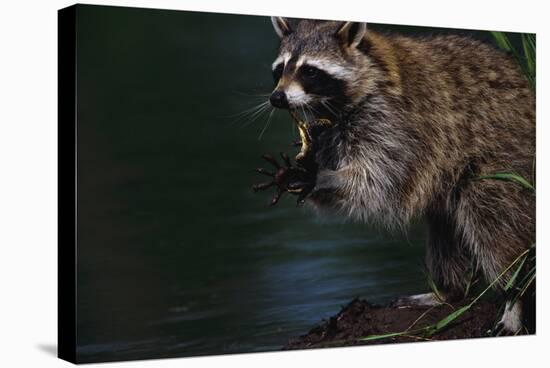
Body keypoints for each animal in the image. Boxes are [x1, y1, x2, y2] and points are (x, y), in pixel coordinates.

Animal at [268, 17, 540, 334]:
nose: (277, 98)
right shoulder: (332, 130)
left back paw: (514, 297)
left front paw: (324, 177)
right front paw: (305, 172)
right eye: (280, 69)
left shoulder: (397, 122)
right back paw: (449, 290)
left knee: (492, 220)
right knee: (444, 226)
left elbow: (380, 180)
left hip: (505, 158)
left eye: (309, 70)